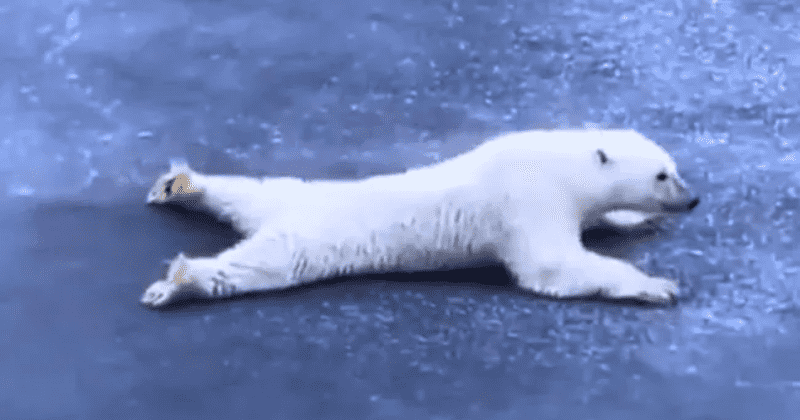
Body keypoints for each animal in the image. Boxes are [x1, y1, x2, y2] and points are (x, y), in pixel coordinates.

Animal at [140, 129, 699, 308]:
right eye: (662, 175)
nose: (693, 200)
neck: (559, 162)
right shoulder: (528, 199)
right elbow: (552, 265)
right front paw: (657, 286)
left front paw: (631, 220)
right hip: (312, 236)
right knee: (263, 265)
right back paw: (179, 281)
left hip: (287, 198)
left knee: (249, 191)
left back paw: (182, 185)